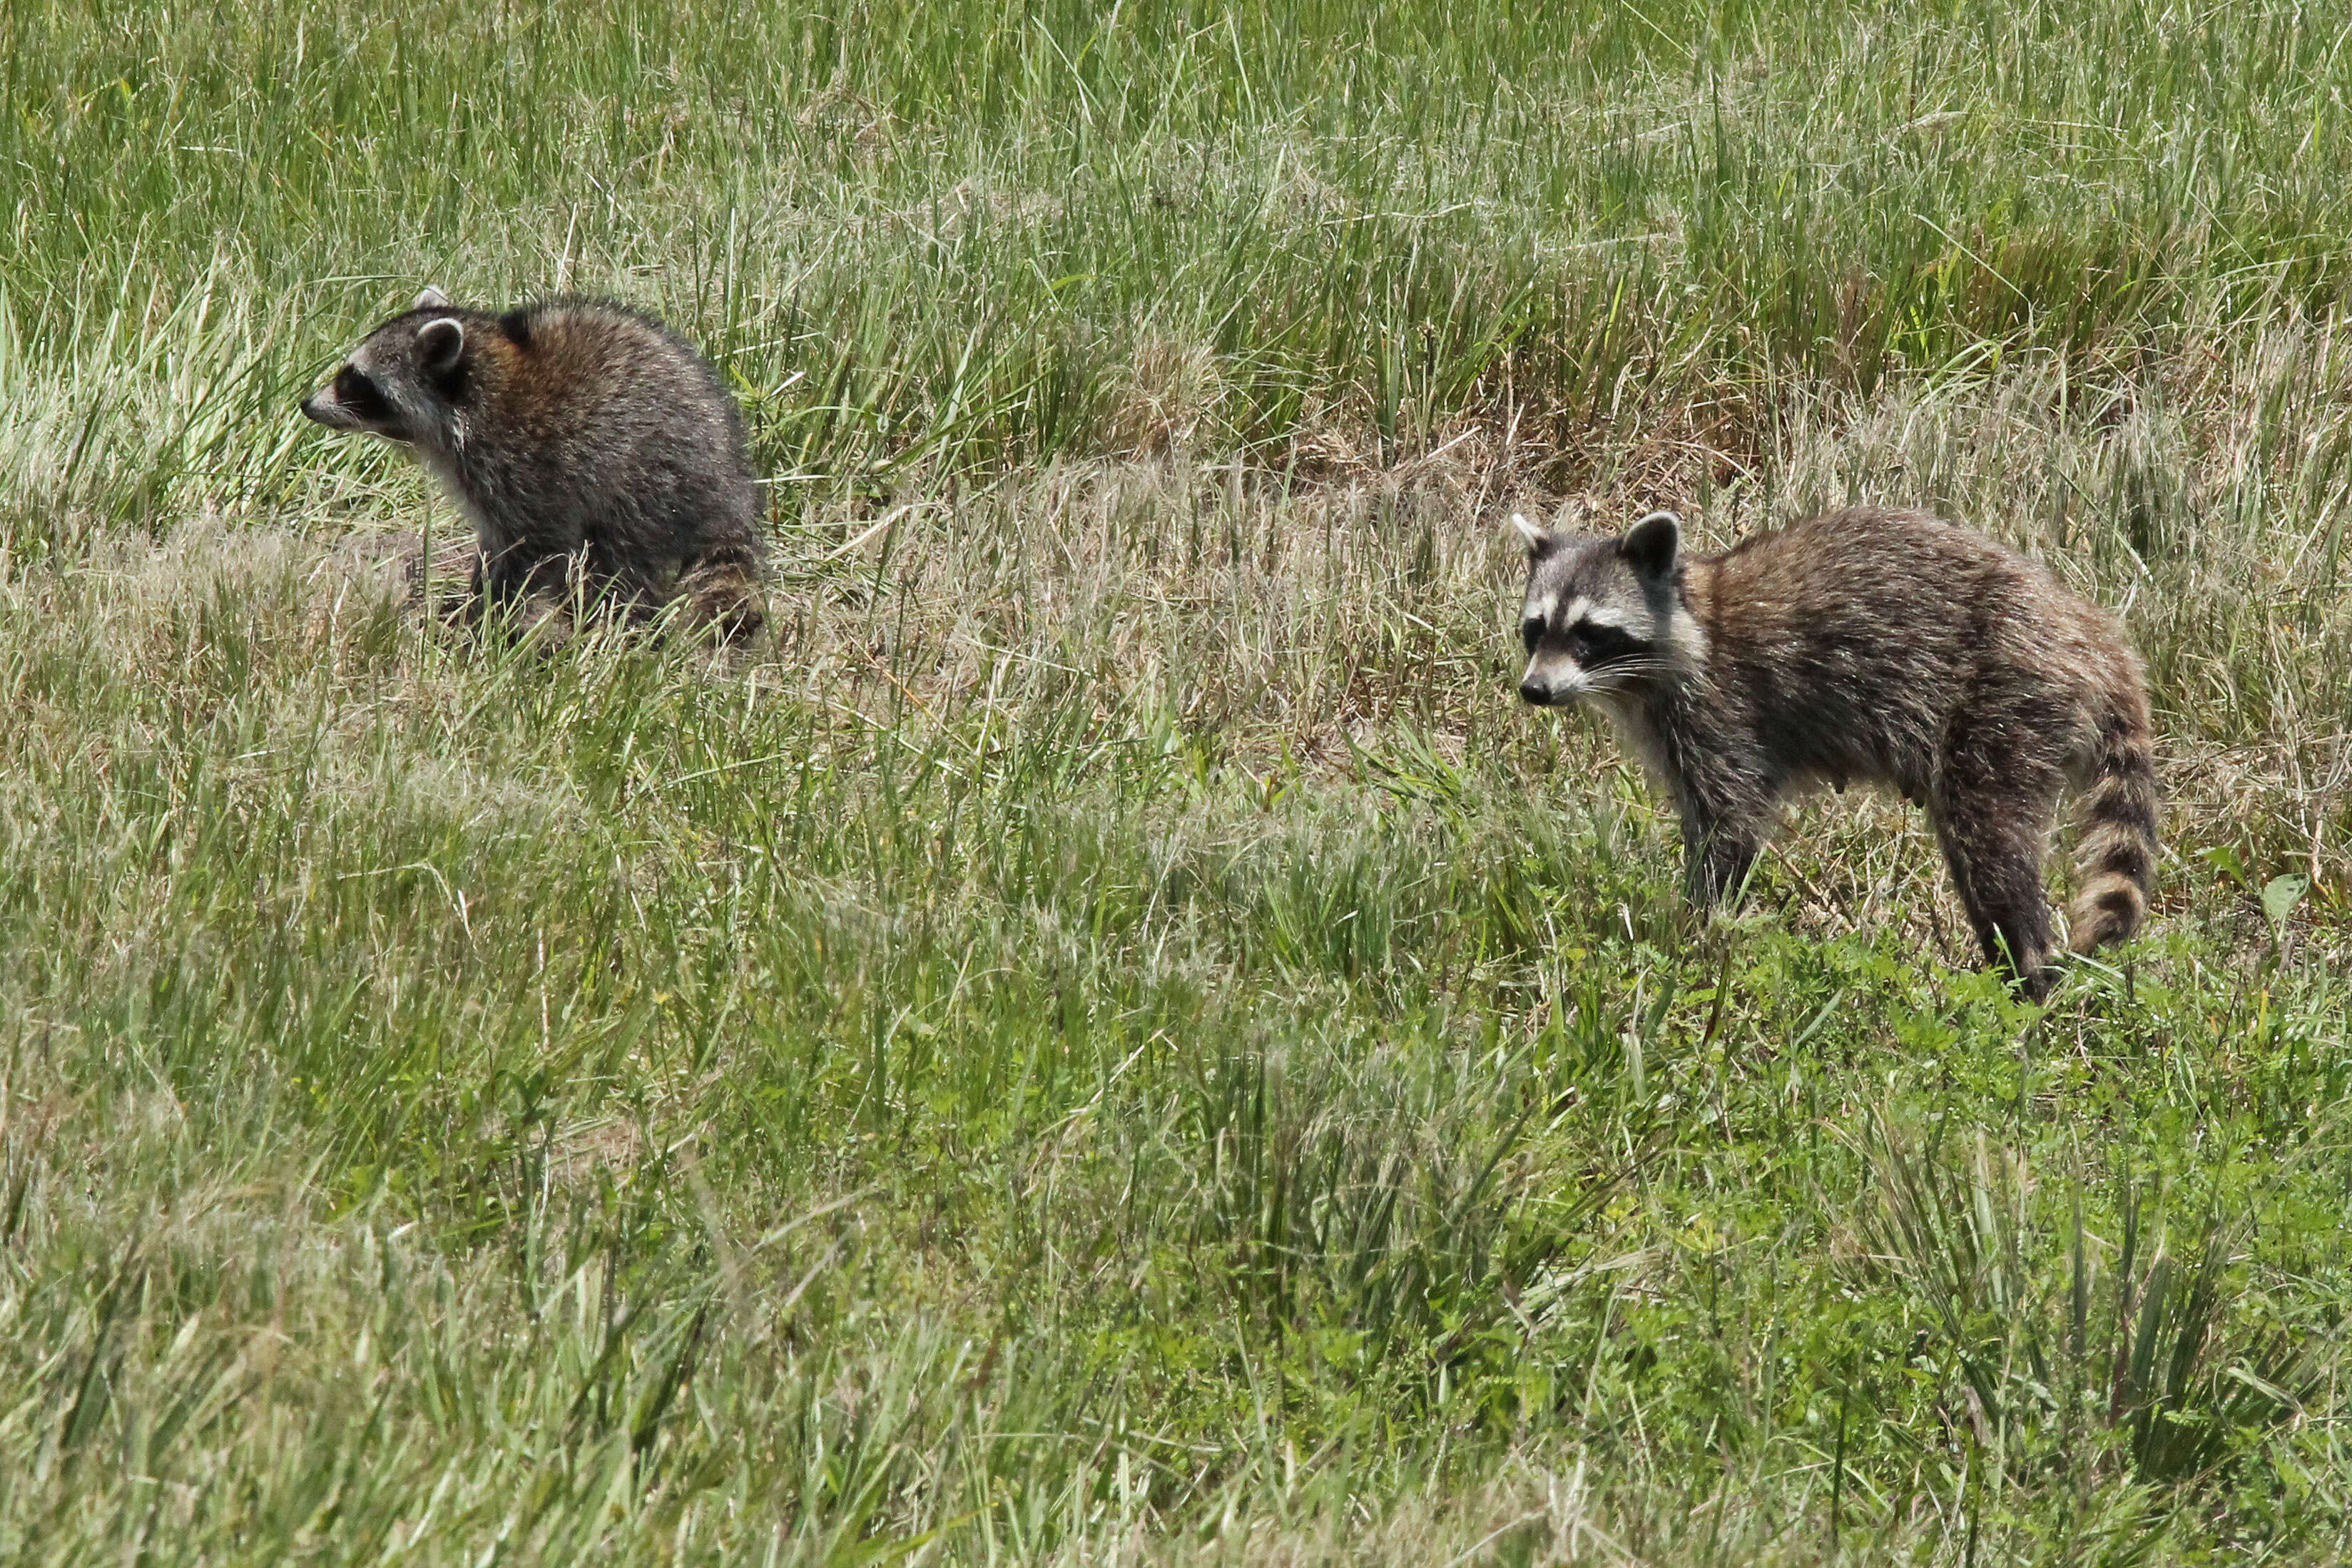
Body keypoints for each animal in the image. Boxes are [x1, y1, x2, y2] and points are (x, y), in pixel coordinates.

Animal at [298, 287, 766, 643]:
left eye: (354, 380)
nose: (306, 405)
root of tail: (731, 485)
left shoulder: (524, 467)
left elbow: (531, 547)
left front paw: (487, 615)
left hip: (650, 479)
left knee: (618, 560)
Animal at [1514, 503, 2154, 992]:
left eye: (1589, 634)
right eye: (1534, 628)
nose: (1533, 691)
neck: (1692, 616)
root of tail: (2093, 635)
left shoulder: (1723, 713)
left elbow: (1728, 829)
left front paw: (1699, 930)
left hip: (2007, 700)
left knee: (1990, 842)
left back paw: (2028, 971)